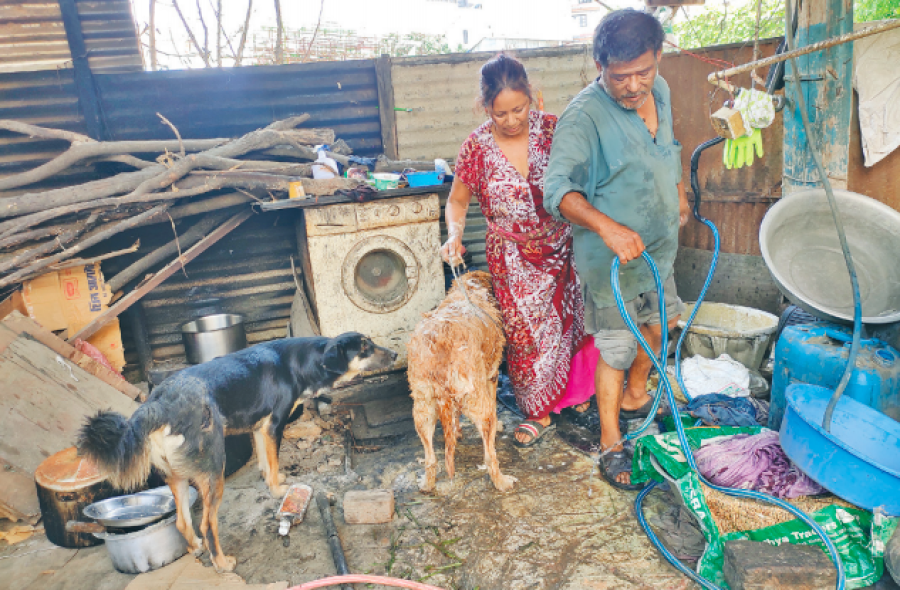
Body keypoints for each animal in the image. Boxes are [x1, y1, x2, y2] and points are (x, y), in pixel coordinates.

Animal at [79, 332, 396, 572]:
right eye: (365, 347)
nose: (394, 354)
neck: (301, 362)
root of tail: (156, 404)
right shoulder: (275, 424)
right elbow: (273, 461)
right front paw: (279, 490)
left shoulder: (259, 428)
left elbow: (267, 461)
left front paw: (271, 478)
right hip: (213, 472)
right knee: (207, 523)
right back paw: (221, 562)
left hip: (176, 476)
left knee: (182, 521)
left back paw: (195, 547)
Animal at [406, 270, 512, 492]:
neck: (470, 289)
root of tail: (439, 346)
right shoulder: (492, 376)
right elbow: (495, 402)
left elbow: (454, 417)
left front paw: (457, 432)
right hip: (479, 406)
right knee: (490, 455)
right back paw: (502, 482)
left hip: (423, 408)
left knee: (430, 458)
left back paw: (427, 484)